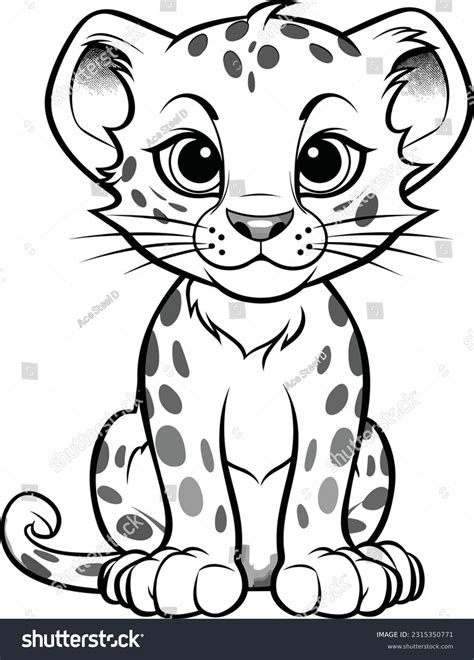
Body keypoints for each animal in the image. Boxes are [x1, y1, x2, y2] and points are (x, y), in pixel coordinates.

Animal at [2, 1, 471, 618]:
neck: (256, 317)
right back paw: (137, 569)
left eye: (323, 160)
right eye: (195, 160)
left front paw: (330, 568)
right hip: (121, 433)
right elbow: (194, 484)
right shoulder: (176, 395)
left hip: (374, 441)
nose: (260, 223)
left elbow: (319, 485)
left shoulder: (336, 400)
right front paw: (189, 568)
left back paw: (379, 560)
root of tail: (259, 576)